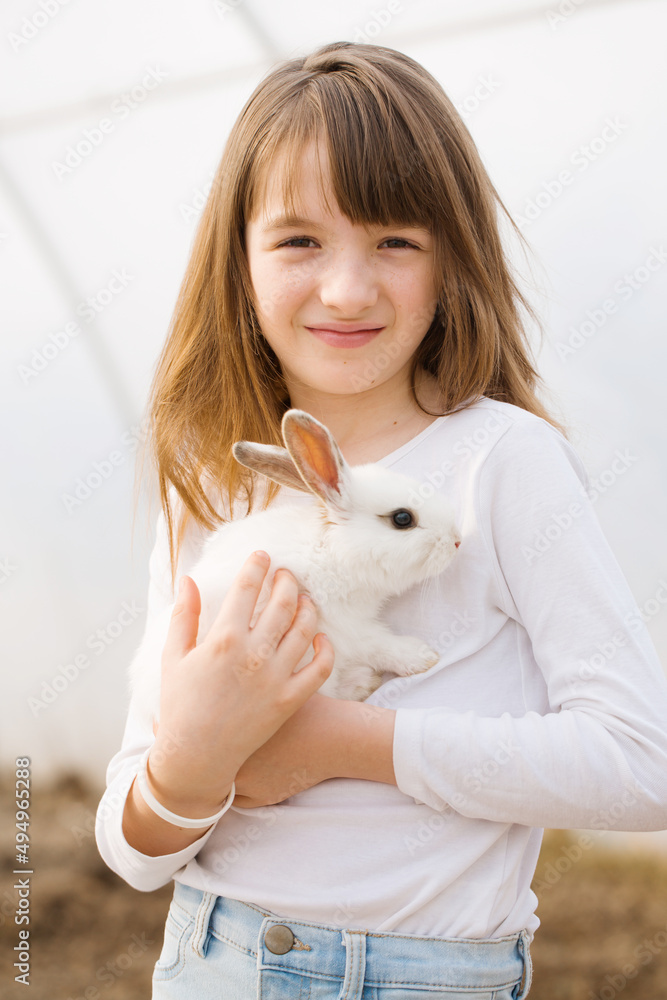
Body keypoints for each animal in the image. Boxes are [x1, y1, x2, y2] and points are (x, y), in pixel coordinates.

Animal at [129, 408, 461, 730]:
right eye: (402, 518)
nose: (457, 540)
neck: (332, 550)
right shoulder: (346, 625)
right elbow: (381, 644)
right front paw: (423, 657)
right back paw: (361, 683)